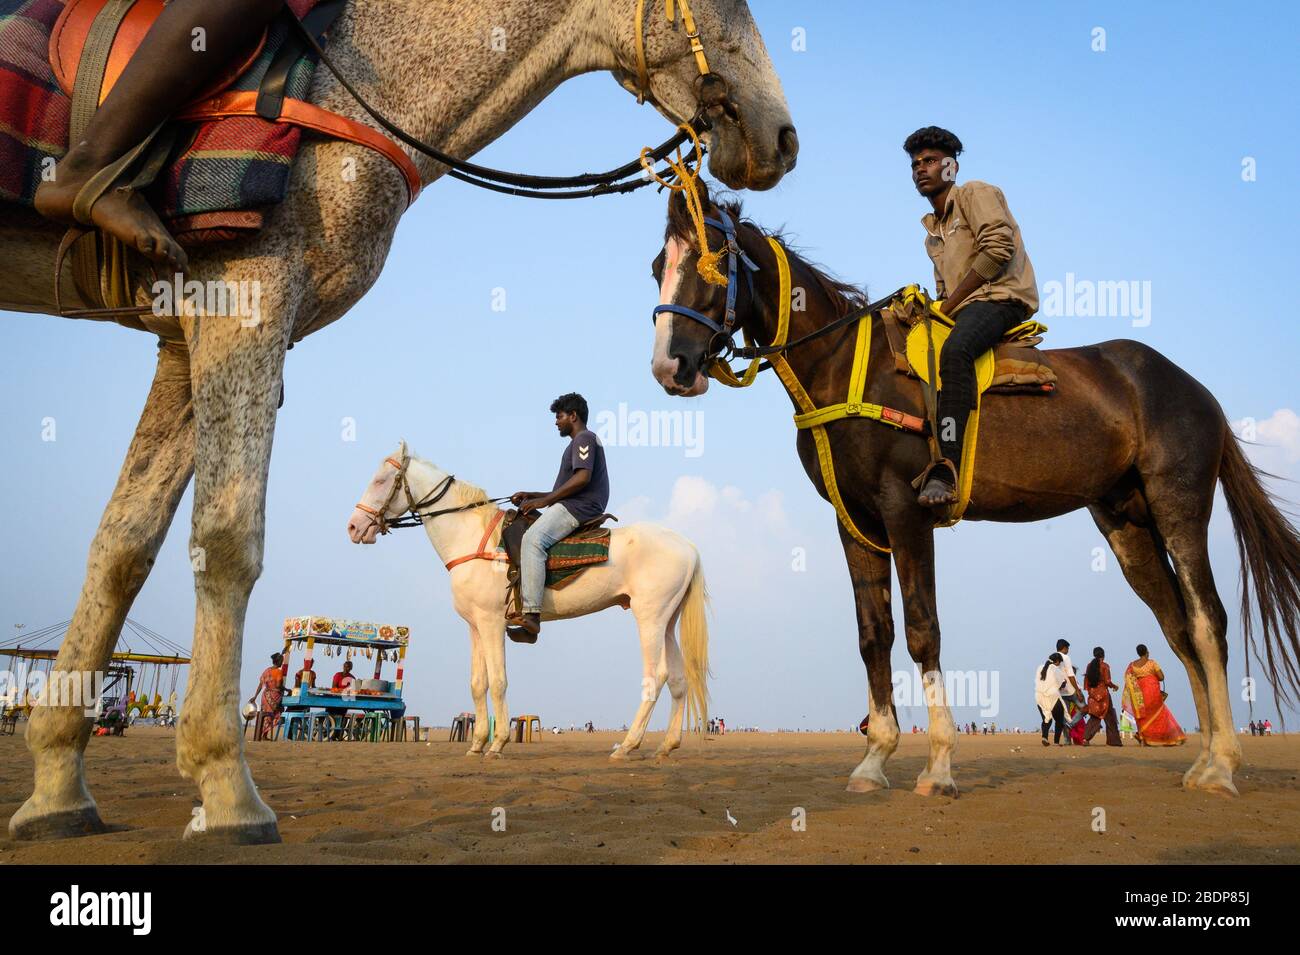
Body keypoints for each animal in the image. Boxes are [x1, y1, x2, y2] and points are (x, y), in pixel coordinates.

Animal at [346, 442, 711, 759]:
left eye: (380, 480)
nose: (353, 527)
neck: (472, 540)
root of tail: (689, 547)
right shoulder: (475, 626)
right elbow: (478, 683)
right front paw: (476, 744)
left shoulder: (492, 622)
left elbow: (498, 681)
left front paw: (497, 745)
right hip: (667, 621)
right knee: (678, 679)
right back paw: (666, 746)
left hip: (649, 617)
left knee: (656, 676)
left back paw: (627, 746)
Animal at [646, 187, 1300, 798]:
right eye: (658, 266)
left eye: (709, 264)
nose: (669, 366)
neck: (846, 366)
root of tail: (1195, 390)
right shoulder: (855, 524)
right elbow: (873, 637)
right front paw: (874, 760)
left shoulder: (906, 510)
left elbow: (922, 631)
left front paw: (937, 765)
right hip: (1129, 527)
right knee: (1178, 628)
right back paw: (1203, 759)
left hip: (1177, 507)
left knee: (1207, 620)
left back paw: (1223, 764)